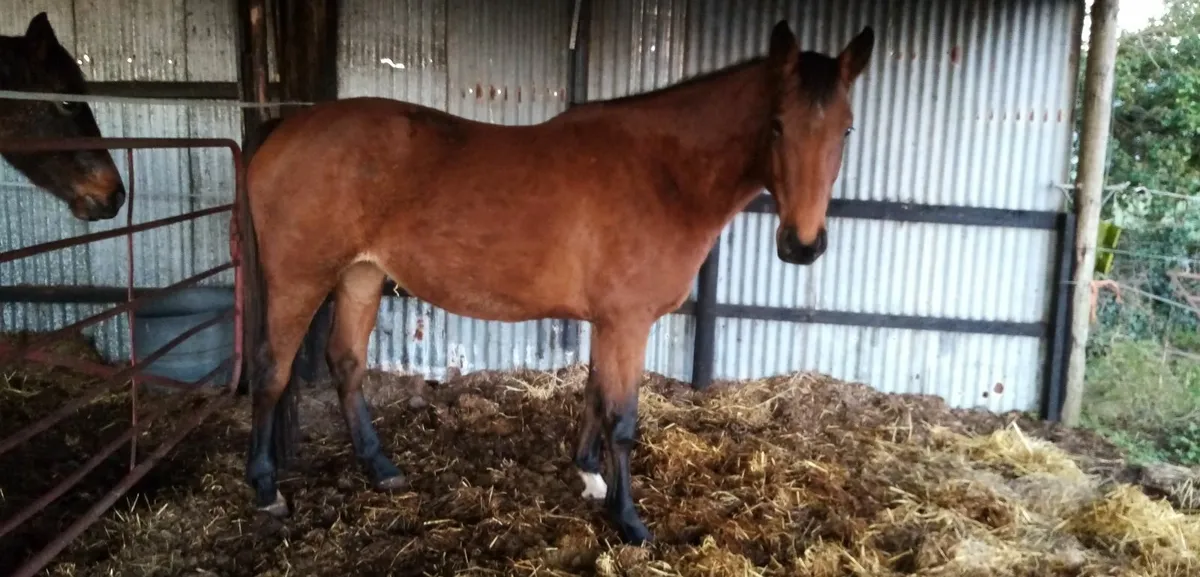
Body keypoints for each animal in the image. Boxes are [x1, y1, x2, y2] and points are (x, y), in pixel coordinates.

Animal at [242, 20, 874, 545]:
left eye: (847, 129)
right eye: (776, 125)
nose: (802, 244)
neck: (664, 173)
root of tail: (286, 126)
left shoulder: (608, 322)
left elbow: (594, 395)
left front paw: (590, 477)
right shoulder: (627, 323)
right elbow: (623, 419)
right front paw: (629, 521)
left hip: (361, 274)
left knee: (346, 364)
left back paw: (380, 468)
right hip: (300, 279)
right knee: (272, 369)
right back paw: (266, 488)